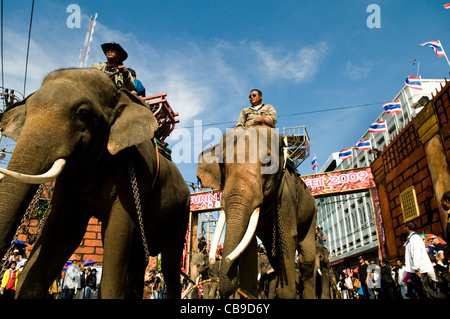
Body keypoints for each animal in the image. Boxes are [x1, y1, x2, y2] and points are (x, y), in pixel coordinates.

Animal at [0, 68, 190, 300]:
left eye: (83, 113)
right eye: (27, 110)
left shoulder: (133, 176)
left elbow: (116, 235)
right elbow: (64, 232)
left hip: (180, 212)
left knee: (170, 264)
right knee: (138, 260)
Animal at [197, 125, 316, 300]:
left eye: (268, 163)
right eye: (222, 165)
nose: (223, 257)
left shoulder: (286, 197)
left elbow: (288, 238)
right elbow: (248, 248)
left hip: (311, 212)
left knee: (306, 262)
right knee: (276, 260)